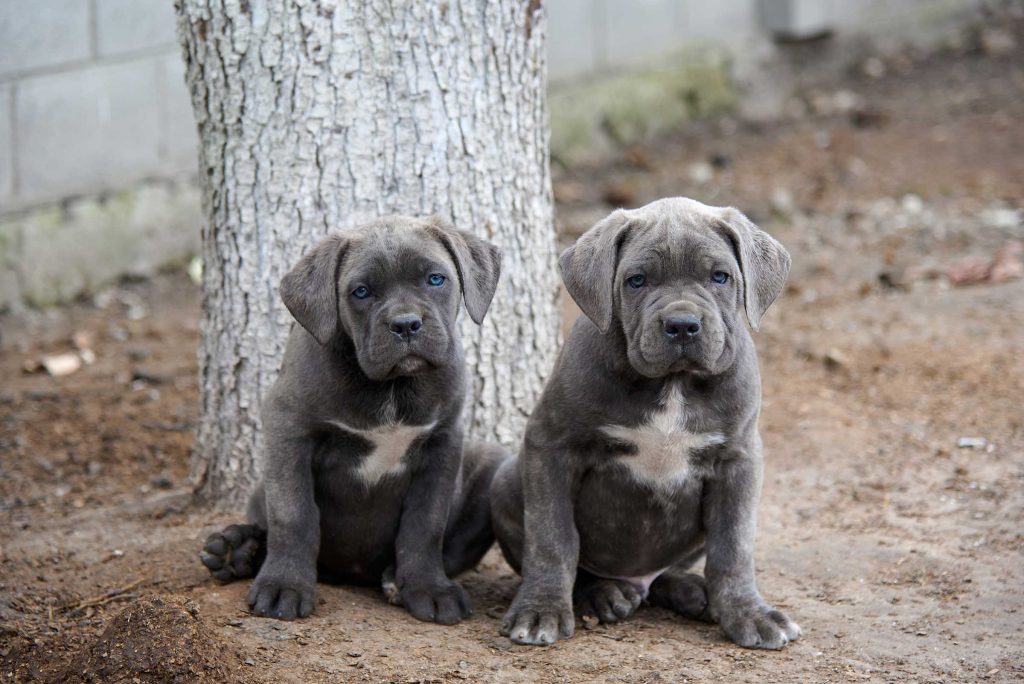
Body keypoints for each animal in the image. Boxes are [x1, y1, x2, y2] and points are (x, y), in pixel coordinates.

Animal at [200, 215, 507, 626]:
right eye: (360, 292)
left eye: (435, 279)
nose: (406, 324)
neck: (392, 387)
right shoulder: (287, 429)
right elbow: (293, 514)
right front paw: (284, 584)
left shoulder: (443, 442)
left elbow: (426, 523)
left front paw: (428, 587)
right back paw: (238, 550)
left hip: (493, 462)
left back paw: (394, 580)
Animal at [491, 196, 802, 647]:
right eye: (636, 281)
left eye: (720, 277)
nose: (682, 325)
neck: (673, 383)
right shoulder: (551, 446)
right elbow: (553, 537)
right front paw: (540, 609)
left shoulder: (739, 459)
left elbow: (734, 547)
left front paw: (748, 612)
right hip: (504, 482)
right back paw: (603, 593)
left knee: (669, 573)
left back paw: (693, 592)